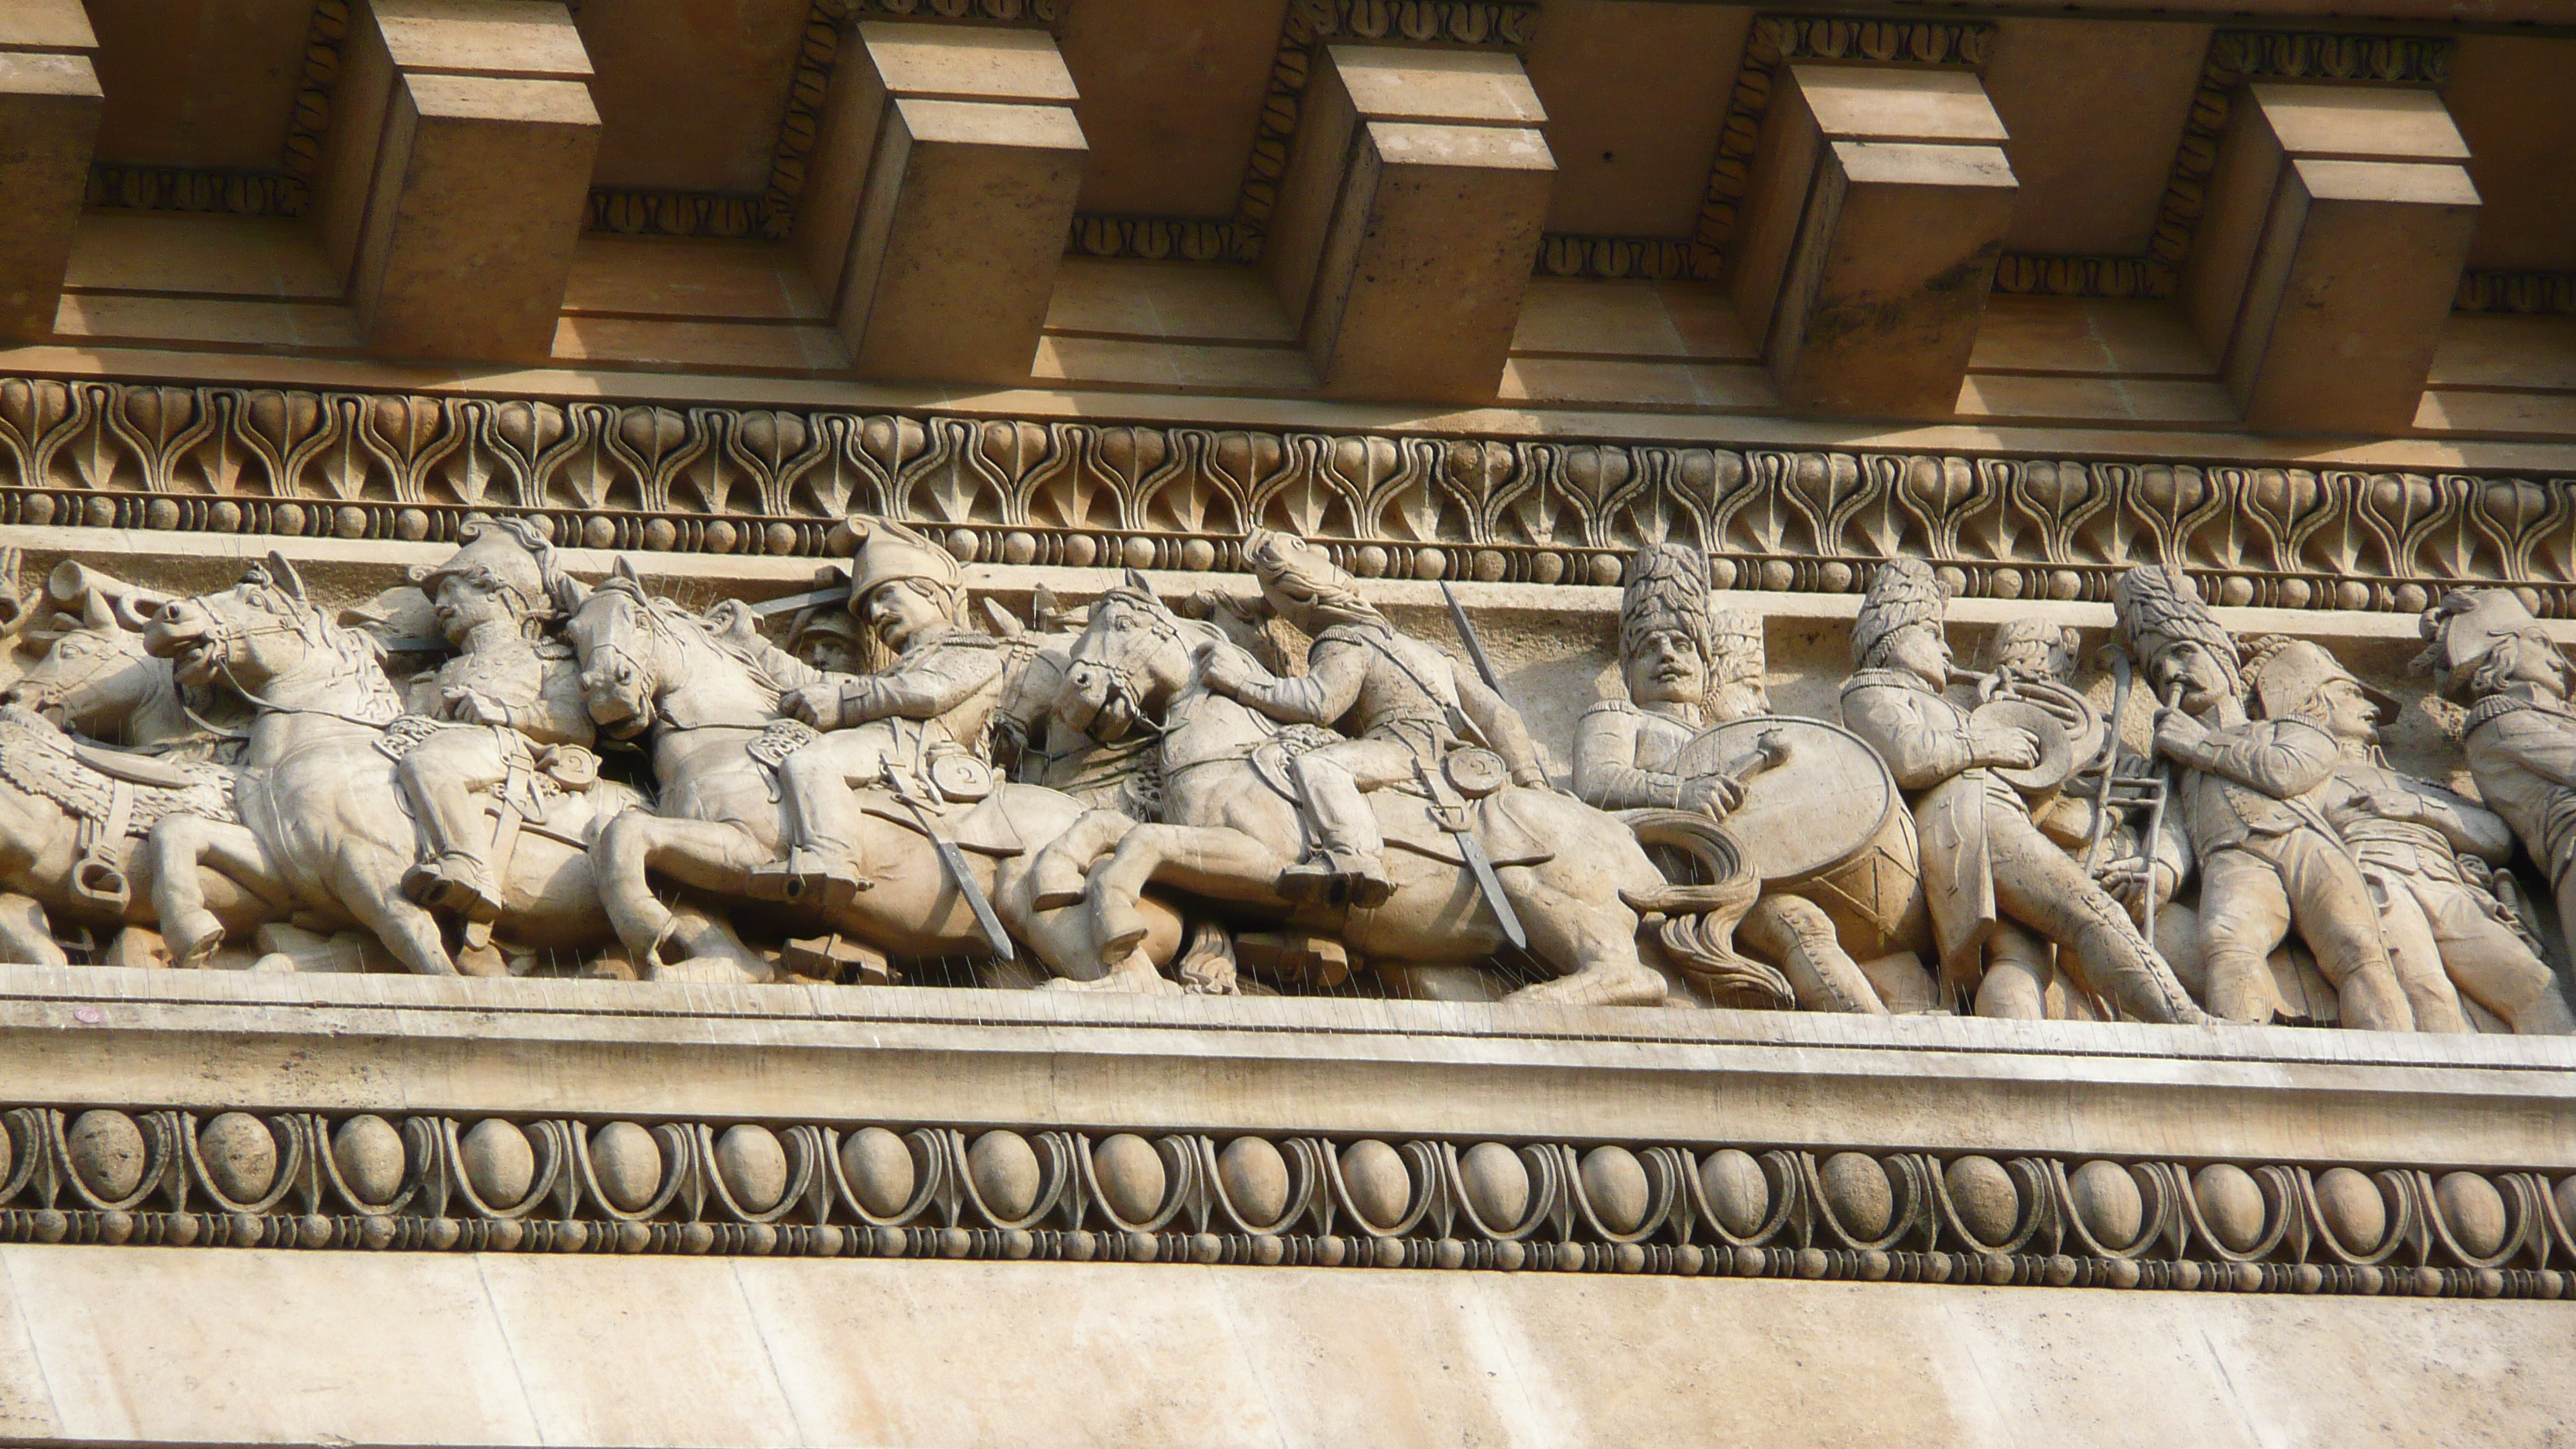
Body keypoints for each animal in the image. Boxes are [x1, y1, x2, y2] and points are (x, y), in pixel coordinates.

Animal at [559, 559, 1180, 975]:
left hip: (1049, 919)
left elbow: (625, 832)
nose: (607, 690)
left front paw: (643, 922)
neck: (721, 741)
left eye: (637, 619)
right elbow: (627, 839)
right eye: (574, 633)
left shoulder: (742, 848)